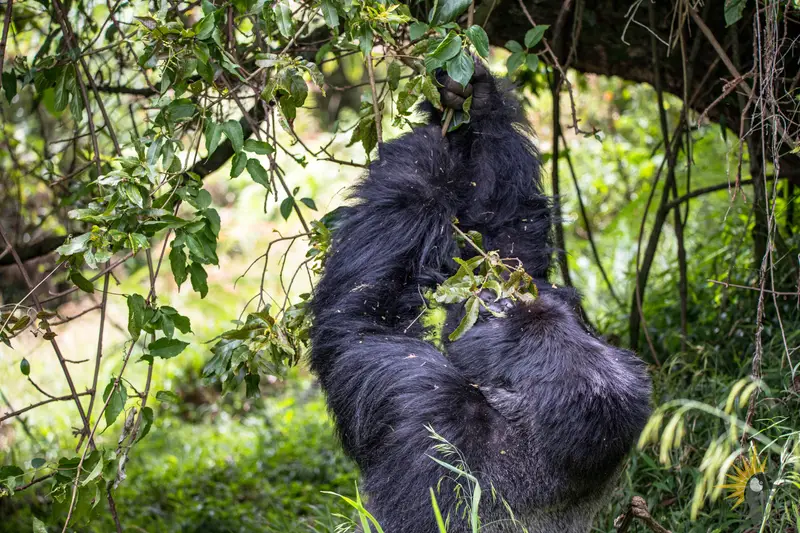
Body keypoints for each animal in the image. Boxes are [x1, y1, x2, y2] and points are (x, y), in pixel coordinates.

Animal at [310, 60, 652, 528]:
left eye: (504, 324)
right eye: (509, 309)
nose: (494, 300)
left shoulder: (426, 407)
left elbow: (356, 323)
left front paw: (426, 158)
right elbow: (508, 236)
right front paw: (477, 98)